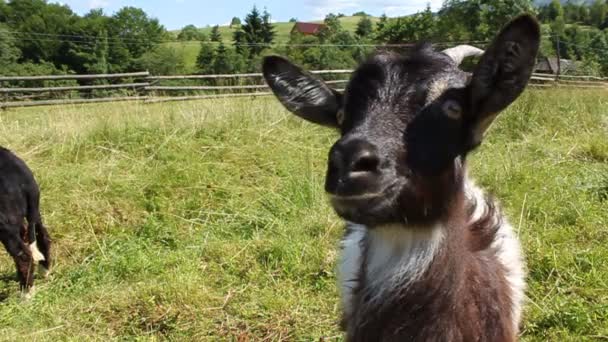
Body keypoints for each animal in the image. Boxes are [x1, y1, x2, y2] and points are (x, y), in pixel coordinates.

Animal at [0, 146, 51, 296]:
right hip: (31, 212)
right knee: (42, 235)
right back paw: (44, 271)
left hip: (5, 226)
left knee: (23, 254)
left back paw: (26, 293)